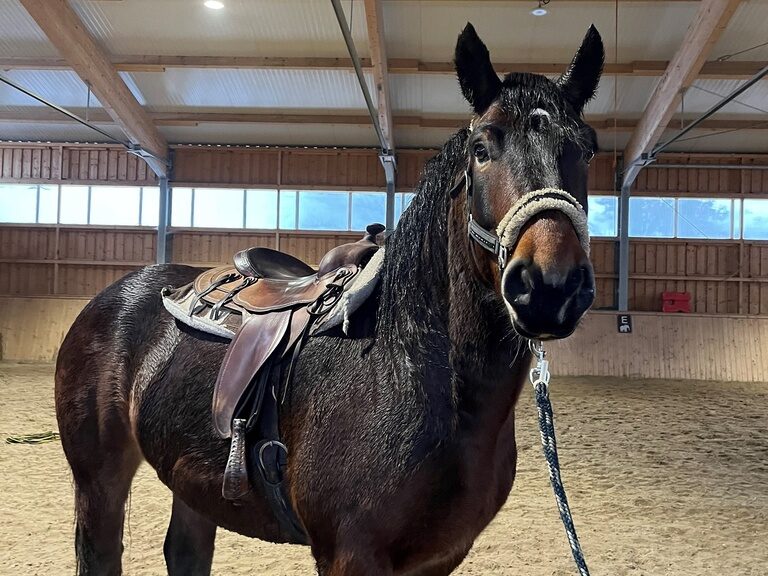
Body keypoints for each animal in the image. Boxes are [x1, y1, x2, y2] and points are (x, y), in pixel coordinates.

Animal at [54, 22, 603, 576]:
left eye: (586, 150)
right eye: (481, 149)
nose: (549, 286)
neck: (409, 370)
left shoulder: (440, 558)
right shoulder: (349, 555)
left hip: (190, 480)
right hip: (99, 481)